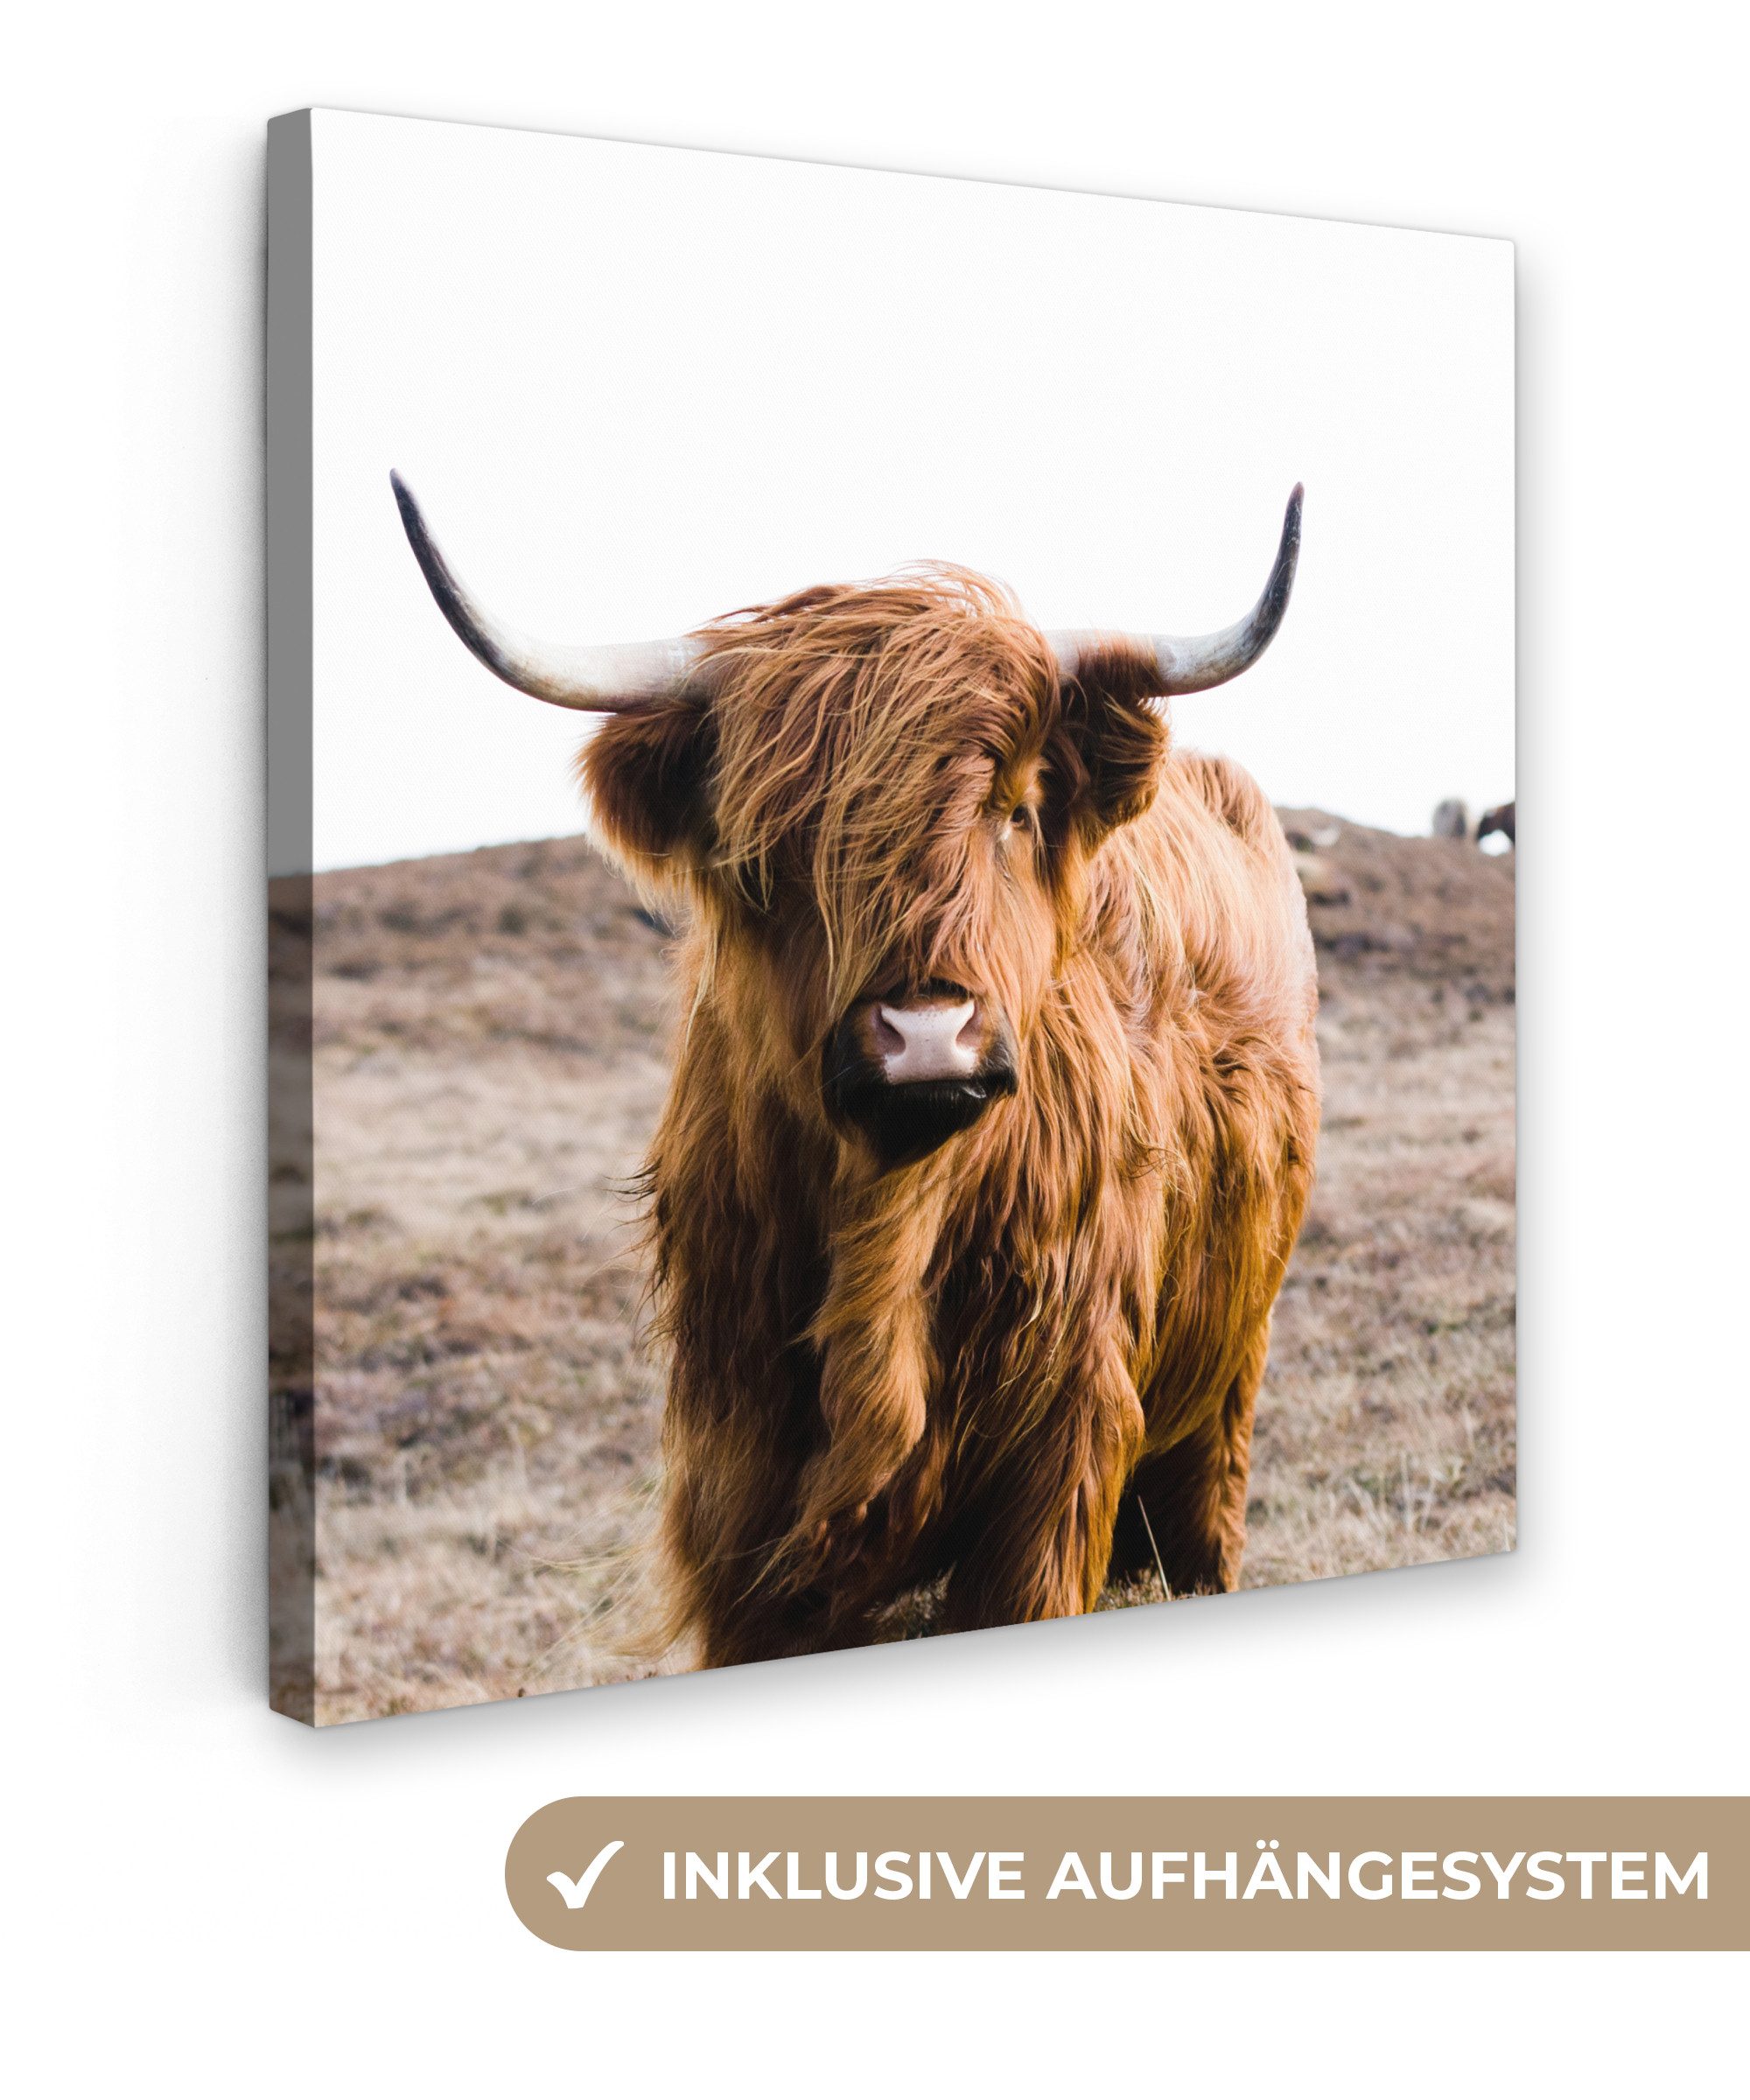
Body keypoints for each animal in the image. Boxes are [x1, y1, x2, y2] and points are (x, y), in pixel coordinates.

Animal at [391, 472, 1321, 1668]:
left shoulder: (1058, 1453)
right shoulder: (741, 1480)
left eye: (1014, 809)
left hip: (1226, 1372)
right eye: (771, 845)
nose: (926, 1031)